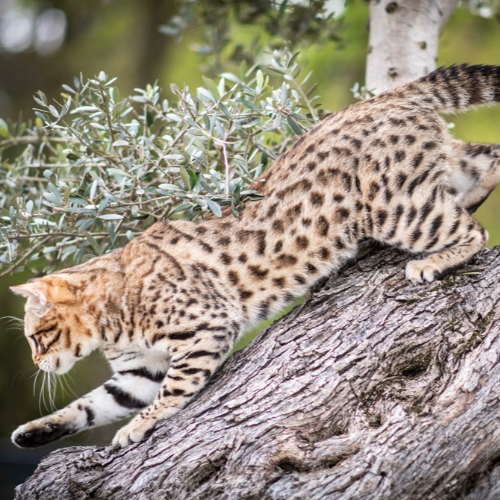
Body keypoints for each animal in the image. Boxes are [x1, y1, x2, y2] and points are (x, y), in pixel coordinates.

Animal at [8, 64, 500, 448]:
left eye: (37, 337)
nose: (35, 364)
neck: (110, 324)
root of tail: (385, 98)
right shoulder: (136, 374)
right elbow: (88, 405)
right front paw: (35, 429)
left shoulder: (205, 328)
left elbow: (171, 394)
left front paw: (141, 425)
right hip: (428, 176)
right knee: (488, 157)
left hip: (397, 208)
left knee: (474, 230)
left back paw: (432, 262)